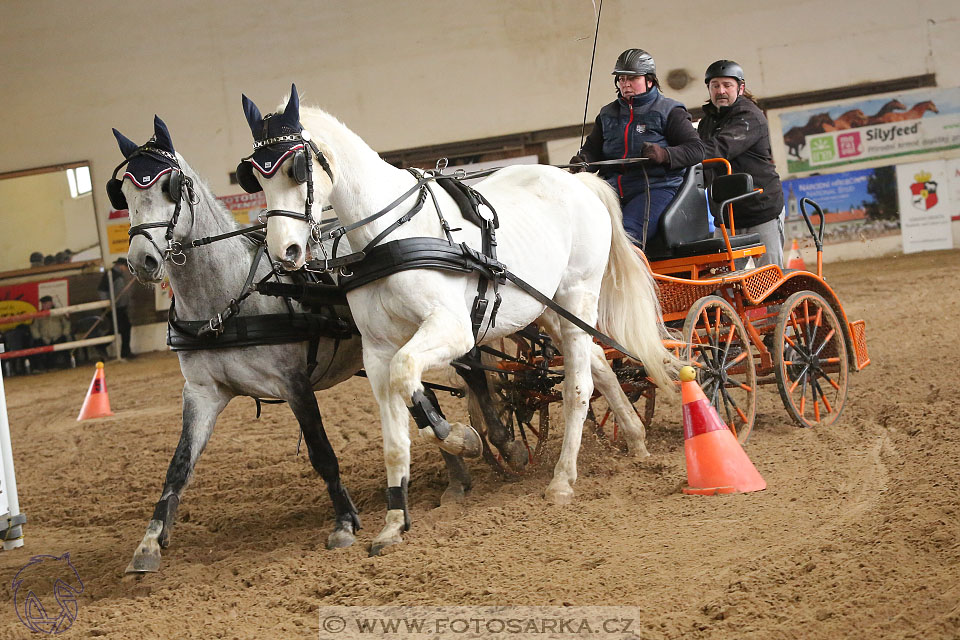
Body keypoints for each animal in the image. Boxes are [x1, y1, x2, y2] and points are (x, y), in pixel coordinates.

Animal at [244, 87, 680, 552]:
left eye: (296, 167)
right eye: (256, 176)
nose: (286, 252)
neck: (388, 235)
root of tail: (577, 181)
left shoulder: (451, 330)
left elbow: (409, 376)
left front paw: (463, 439)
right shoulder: (377, 352)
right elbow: (396, 435)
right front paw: (393, 524)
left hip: (578, 294)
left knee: (577, 387)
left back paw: (563, 480)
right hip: (547, 308)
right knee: (600, 362)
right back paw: (635, 439)